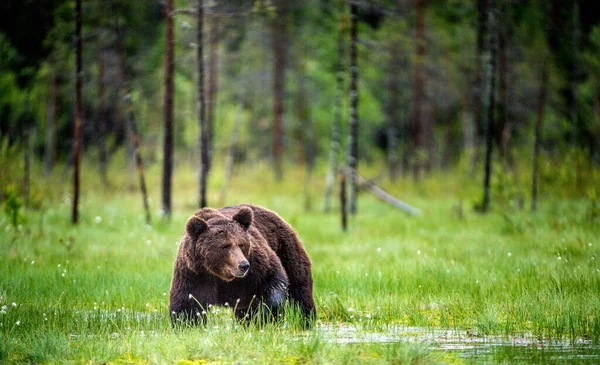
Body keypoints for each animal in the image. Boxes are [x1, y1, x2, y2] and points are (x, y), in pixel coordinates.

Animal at [169, 203, 316, 326]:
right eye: (225, 246)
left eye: (241, 244)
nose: (243, 265)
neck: (220, 275)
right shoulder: (193, 274)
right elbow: (188, 305)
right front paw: (186, 324)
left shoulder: (255, 267)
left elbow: (272, 281)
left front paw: (264, 315)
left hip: (286, 251)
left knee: (299, 291)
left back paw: (306, 320)